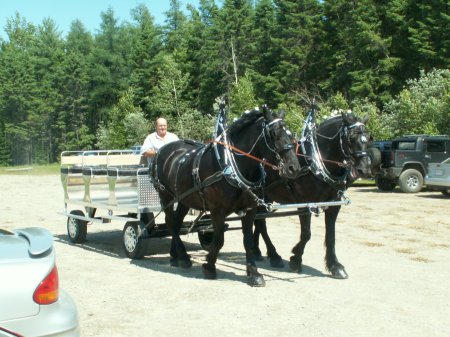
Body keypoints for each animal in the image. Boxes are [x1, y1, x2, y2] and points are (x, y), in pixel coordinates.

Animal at [152, 105, 302, 284]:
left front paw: (254, 273)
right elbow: (219, 240)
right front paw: (209, 267)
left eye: (291, 135)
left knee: (176, 222)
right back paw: (183, 257)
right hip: (165, 195)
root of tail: (163, 150)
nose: (294, 167)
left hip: (184, 198)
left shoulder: (250, 209)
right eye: (273, 134)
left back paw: (176, 256)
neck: (231, 165)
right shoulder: (218, 210)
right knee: (170, 222)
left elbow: (248, 241)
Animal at [253, 110, 372, 278]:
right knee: (260, 223)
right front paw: (296, 259)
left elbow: (331, 236)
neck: (316, 163)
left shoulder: (334, 205)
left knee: (258, 222)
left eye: (368, 138)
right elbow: (306, 234)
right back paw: (274, 255)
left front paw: (335, 265)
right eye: (351, 138)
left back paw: (258, 252)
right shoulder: (305, 204)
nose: (365, 169)